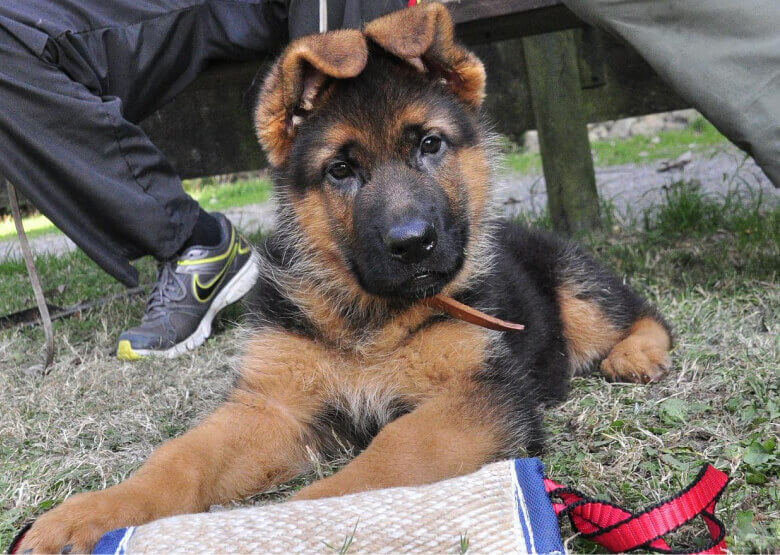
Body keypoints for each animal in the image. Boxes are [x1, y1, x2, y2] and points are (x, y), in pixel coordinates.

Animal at [19, 4, 676, 552]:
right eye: (340, 169)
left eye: (430, 144)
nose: (412, 243)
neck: (369, 313)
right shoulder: (274, 406)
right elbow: (181, 457)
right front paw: (89, 514)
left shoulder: (477, 395)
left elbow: (388, 458)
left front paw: (291, 519)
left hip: (573, 287)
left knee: (638, 311)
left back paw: (636, 354)